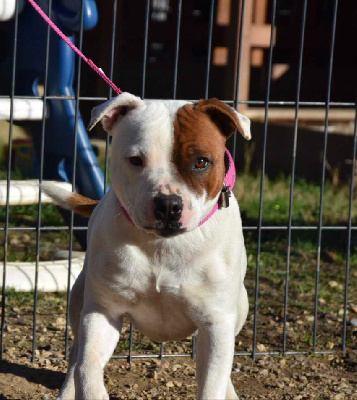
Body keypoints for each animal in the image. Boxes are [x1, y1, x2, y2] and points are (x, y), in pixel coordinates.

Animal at [44, 92, 250, 398]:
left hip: (239, 308)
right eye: (135, 160)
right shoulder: (102, 311)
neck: (161, 246)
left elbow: (212, 381)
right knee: (76, 357)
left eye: (201, 161)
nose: (167, 204)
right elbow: (87, 366)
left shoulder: (216, 323)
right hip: (79, 300)